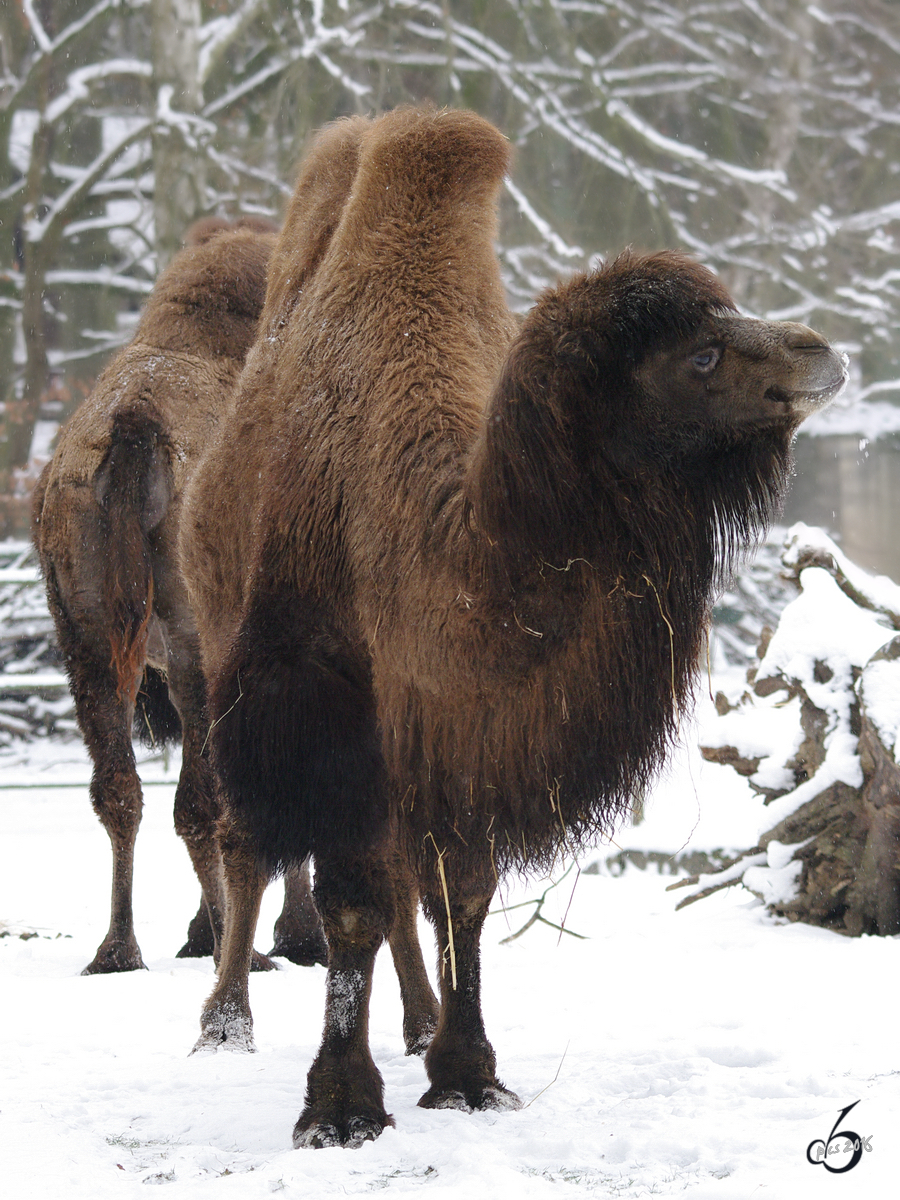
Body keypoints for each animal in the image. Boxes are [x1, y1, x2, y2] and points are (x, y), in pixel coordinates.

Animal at [181, 108, 844, 1147]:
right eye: (700, 355)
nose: (819, 350)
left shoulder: (464, 727)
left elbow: (462, 894)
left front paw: (467, 1073)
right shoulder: (329, 708)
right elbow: (352, 901)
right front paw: (340, 1107)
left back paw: (416, 1024)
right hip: (223, 657)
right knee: (249, 840)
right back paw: (223, 1025)